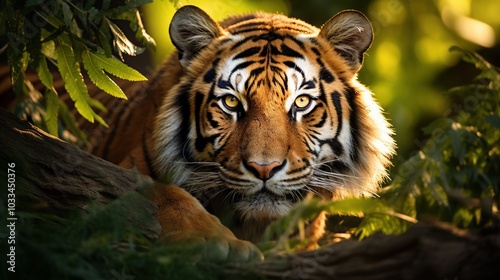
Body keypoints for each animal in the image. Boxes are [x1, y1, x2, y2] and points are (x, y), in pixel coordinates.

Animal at [2, 4, 394, 258]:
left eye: (300, 103)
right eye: (232, 103)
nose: (264, 169)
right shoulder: (122, 168)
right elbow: (164, 193)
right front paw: (214, 241)